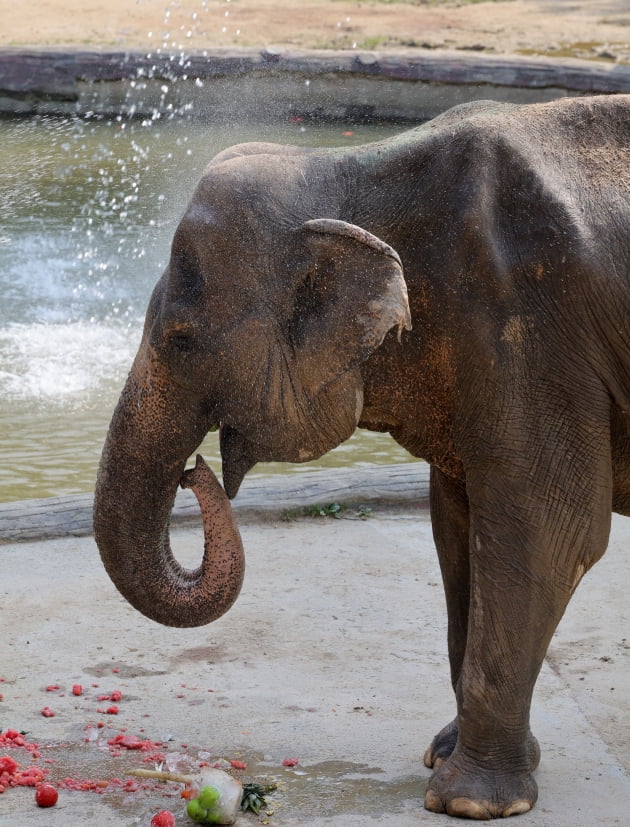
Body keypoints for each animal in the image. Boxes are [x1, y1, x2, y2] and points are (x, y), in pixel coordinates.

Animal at [94, 94, 630, 820]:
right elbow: (456, 524)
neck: (349, 171)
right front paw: (444, 754)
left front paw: (467, 803)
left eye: (180, 339)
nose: (193, 471)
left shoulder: (534, 332)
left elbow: (548, 532)